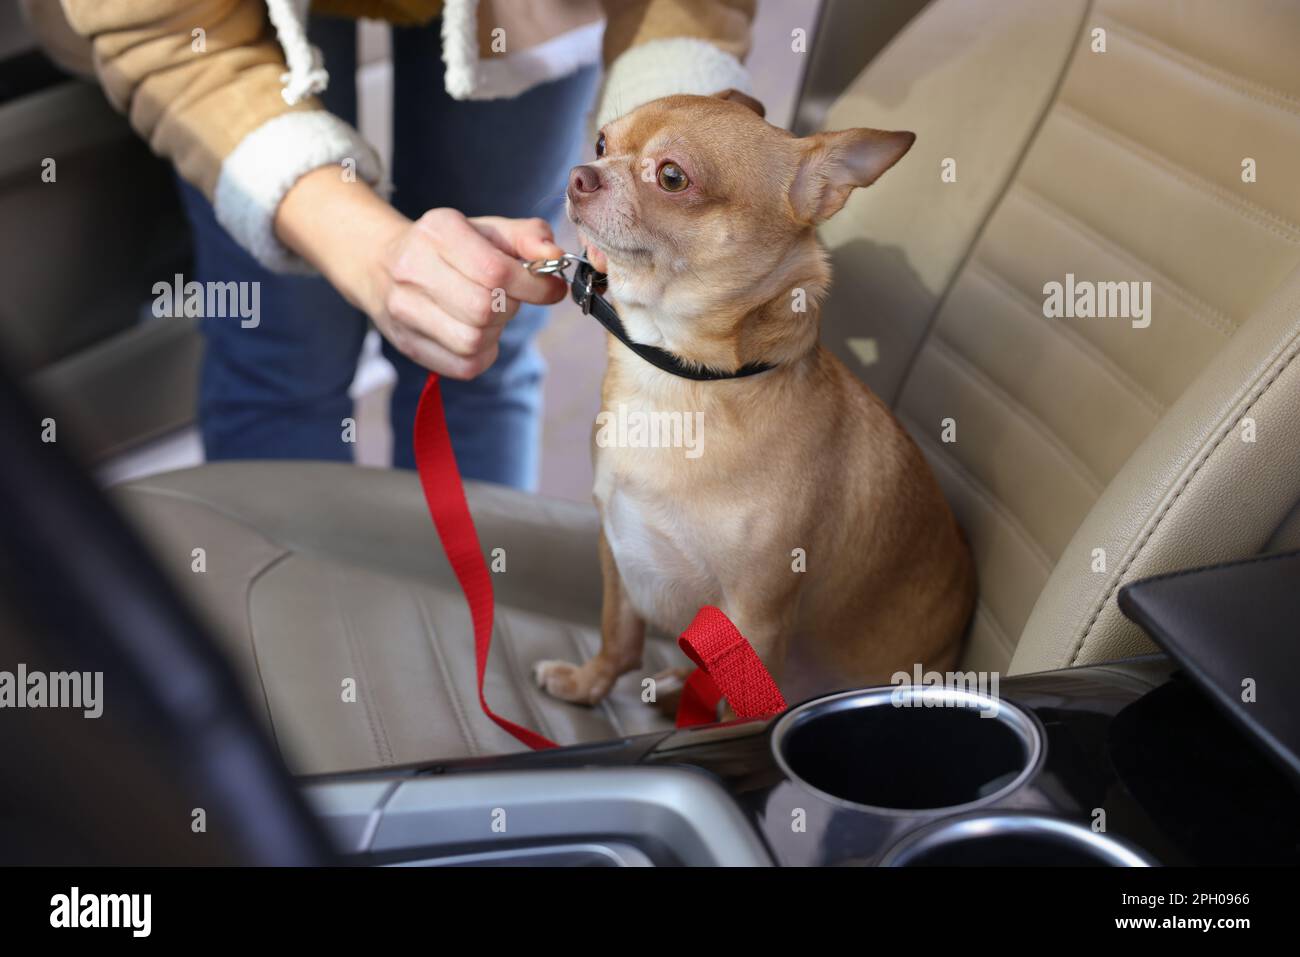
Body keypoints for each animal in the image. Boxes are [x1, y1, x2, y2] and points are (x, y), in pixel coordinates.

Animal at [533, 91, 972, 712]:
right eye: (600, 143)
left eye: (672, 177)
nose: (580, 174)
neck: (682, 379)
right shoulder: (616, 548)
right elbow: (618, 634)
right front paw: (586, 685)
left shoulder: (758, 616)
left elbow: (732, 707)